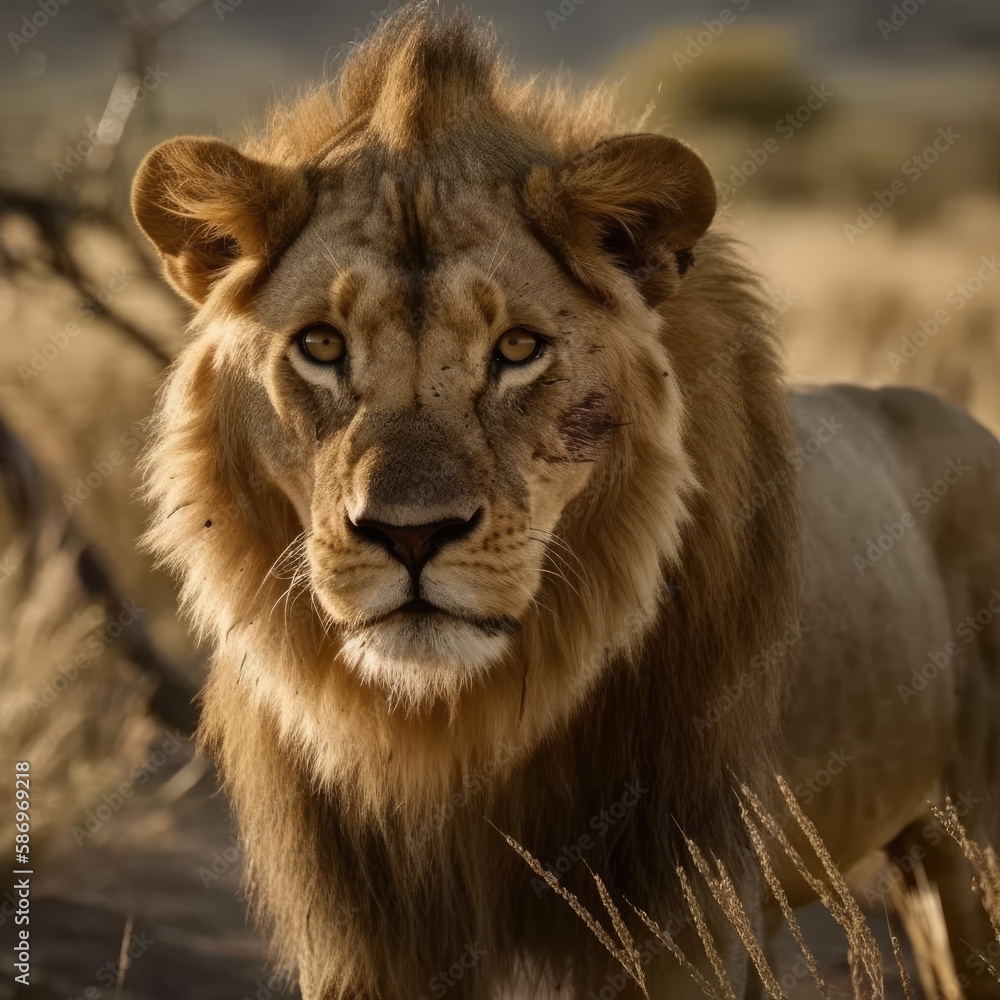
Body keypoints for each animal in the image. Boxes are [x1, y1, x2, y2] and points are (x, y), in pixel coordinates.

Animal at [131, 3, 1000, 996]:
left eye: (517, 348)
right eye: (320, 345)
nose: (410, 534)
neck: (451, 738)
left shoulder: (681, 920)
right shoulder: (365, 946)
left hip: (970, 855)